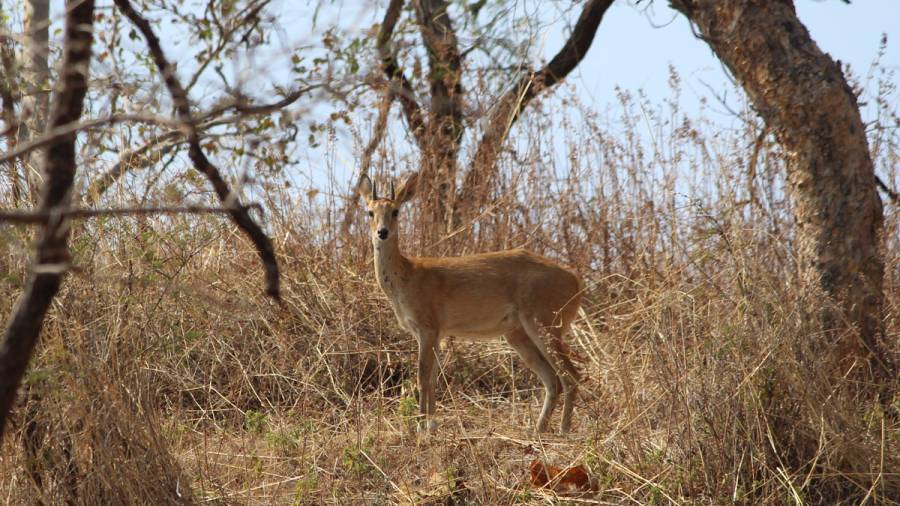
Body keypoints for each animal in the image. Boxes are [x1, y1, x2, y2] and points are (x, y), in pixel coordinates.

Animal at [358, 172, 584, 432]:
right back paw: (538, 430)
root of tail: (577, 282)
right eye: (370, 212)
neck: (407, 276)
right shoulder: (436, 333)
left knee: (570, 376)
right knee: (551, 378)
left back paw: (563, 431)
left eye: (395, 211)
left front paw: (420, 428)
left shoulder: (428, 327)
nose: (382, 232)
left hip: (545, 322)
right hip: (517, 333)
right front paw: (431, 426)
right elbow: (433, 378)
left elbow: (422, 377)